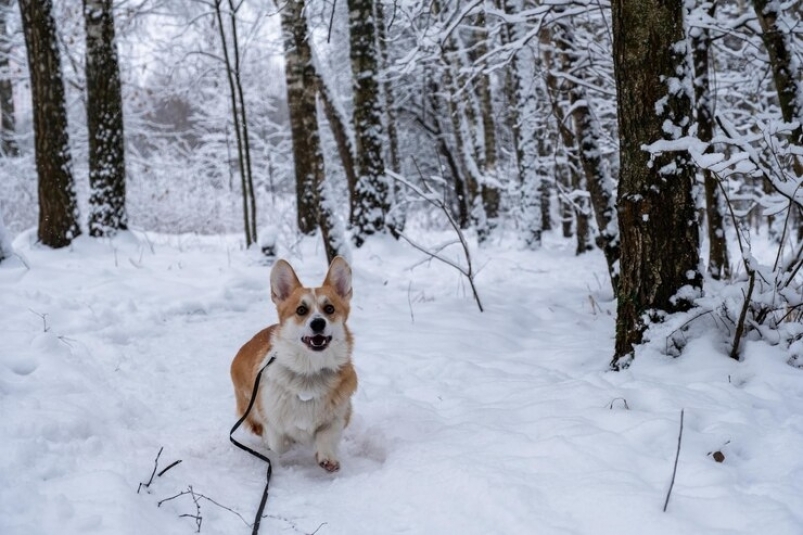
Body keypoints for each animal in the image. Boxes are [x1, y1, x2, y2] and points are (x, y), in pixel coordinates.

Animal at [232, 258, 358, 472]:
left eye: (330, 309)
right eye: (301, 310)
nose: (318, 323)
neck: (310, 371)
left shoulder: (338, 415)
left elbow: (327, 435)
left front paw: (327, 458)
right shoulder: (269, 416)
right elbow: (279, 442)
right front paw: (289, 442)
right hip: (247, 404)